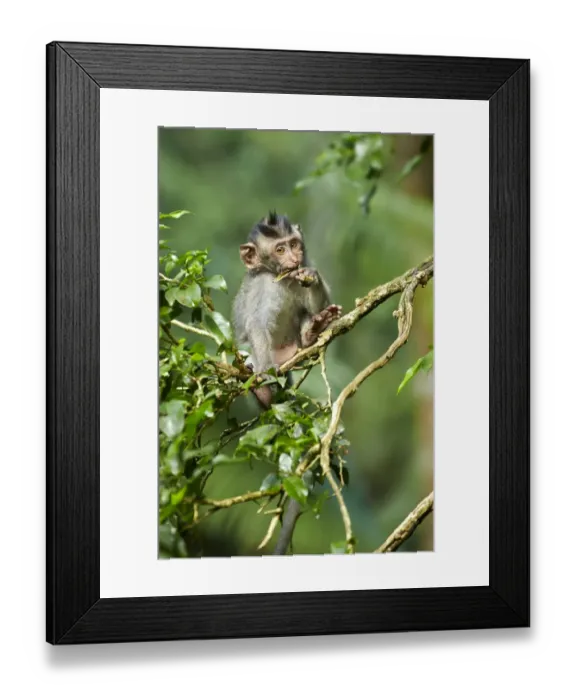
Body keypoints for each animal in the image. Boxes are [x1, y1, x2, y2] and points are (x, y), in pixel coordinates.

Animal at [232, 211, 342, 554]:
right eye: (279, 249)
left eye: (294, 245)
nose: (293, 258)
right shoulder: (263, 287)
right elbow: (256, 325)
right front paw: (264, 375)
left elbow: (314, 299)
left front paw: (312, 278)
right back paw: (263, 385)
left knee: (306, 315)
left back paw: (311, 333)